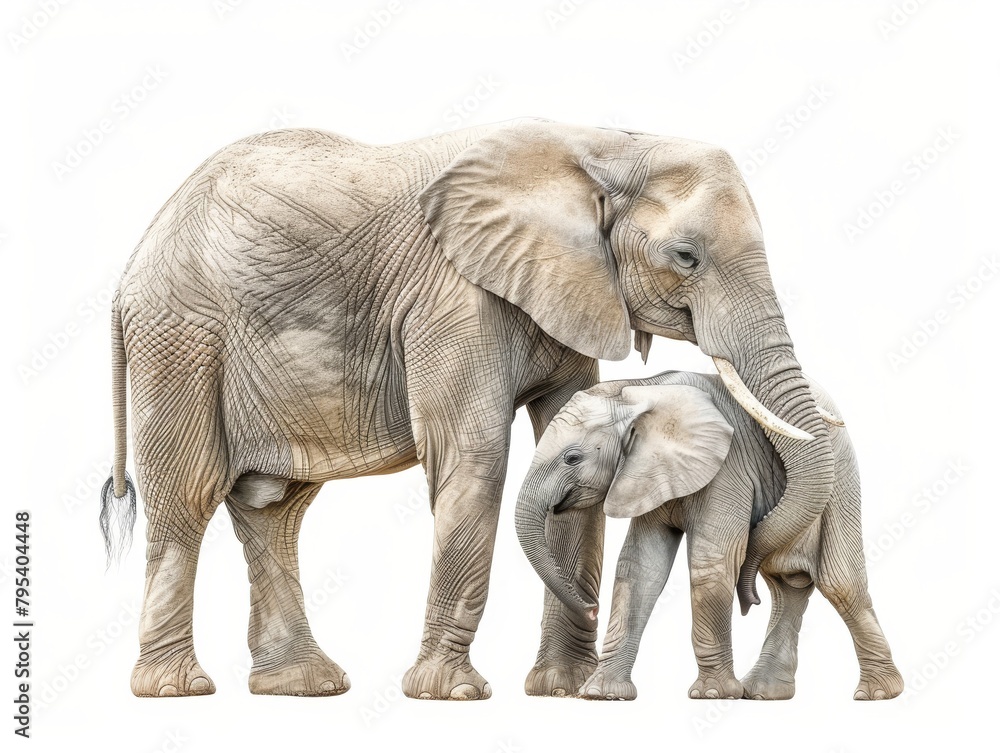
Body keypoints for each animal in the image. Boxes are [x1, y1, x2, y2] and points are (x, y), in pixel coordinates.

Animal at [99, 119, 834, 700]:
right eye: (686, 256)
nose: (757, 586)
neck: (603, 146)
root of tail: (131, 264)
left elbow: (567, 441)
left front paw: (563, 691)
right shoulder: (454, 294)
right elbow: (476, 456)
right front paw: (449, 693)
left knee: (274, 507)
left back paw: (305, 685)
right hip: (182, 338)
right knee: (189, 494)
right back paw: (177, 689)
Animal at [514, 370, 903, 701]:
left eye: (572, 458)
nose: (591, 609)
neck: (638, 389)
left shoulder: (727, 467)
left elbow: (711, 561)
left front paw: (713, 695)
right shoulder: (647, 473)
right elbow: (640, 567)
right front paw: (601, 694)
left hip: (841, 477)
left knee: (839, 583)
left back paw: (877, 694)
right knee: (785, 582)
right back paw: (763, 693)